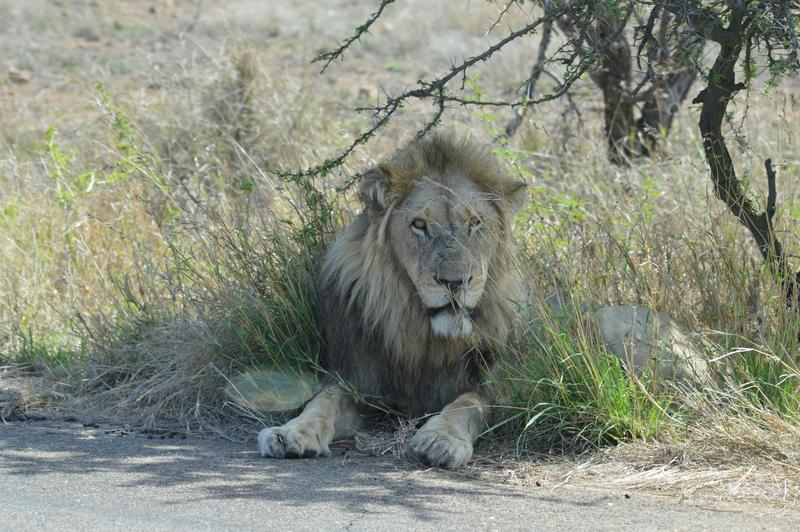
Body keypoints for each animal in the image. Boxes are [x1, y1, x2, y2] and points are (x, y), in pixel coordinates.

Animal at [260, 132, 528, 466]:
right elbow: (322, 402)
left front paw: (441, 439)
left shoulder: (498, 386)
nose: (454, 282)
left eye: (475, 223)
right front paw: (290, 433)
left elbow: (467, 403)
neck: (426, 336)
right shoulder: (357, 379)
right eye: (419, 225)